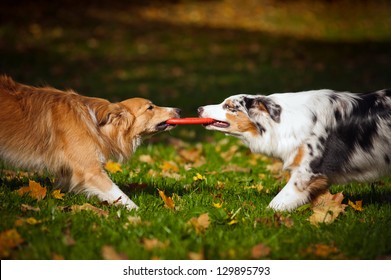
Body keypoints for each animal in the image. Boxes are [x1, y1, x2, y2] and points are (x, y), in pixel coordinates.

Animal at [0, 75, 181, 209]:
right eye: (150, 107)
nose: (179, 110)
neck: (97, 124)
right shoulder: (89, 170)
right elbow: (118, 193)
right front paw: (138, 213)